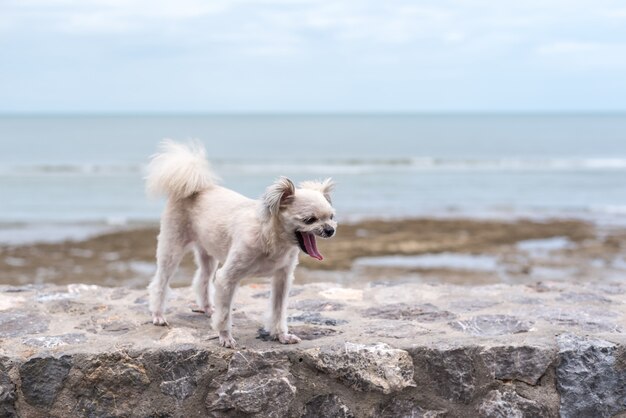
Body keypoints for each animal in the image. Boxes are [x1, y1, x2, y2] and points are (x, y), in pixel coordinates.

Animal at [145, 139, 336, 348]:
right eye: (310, 220)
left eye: (331, 217)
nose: (330, 230)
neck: (272, 238)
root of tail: (197, 189)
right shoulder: (227, 278)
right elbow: (224, 314)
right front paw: (225, 337)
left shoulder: (282, 278)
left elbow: (278, 311)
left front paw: (281, 335)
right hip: (172, 248)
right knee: (160, 282)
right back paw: (158, 315)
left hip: (208, 252)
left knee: (202, 279)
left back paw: (207, 308)